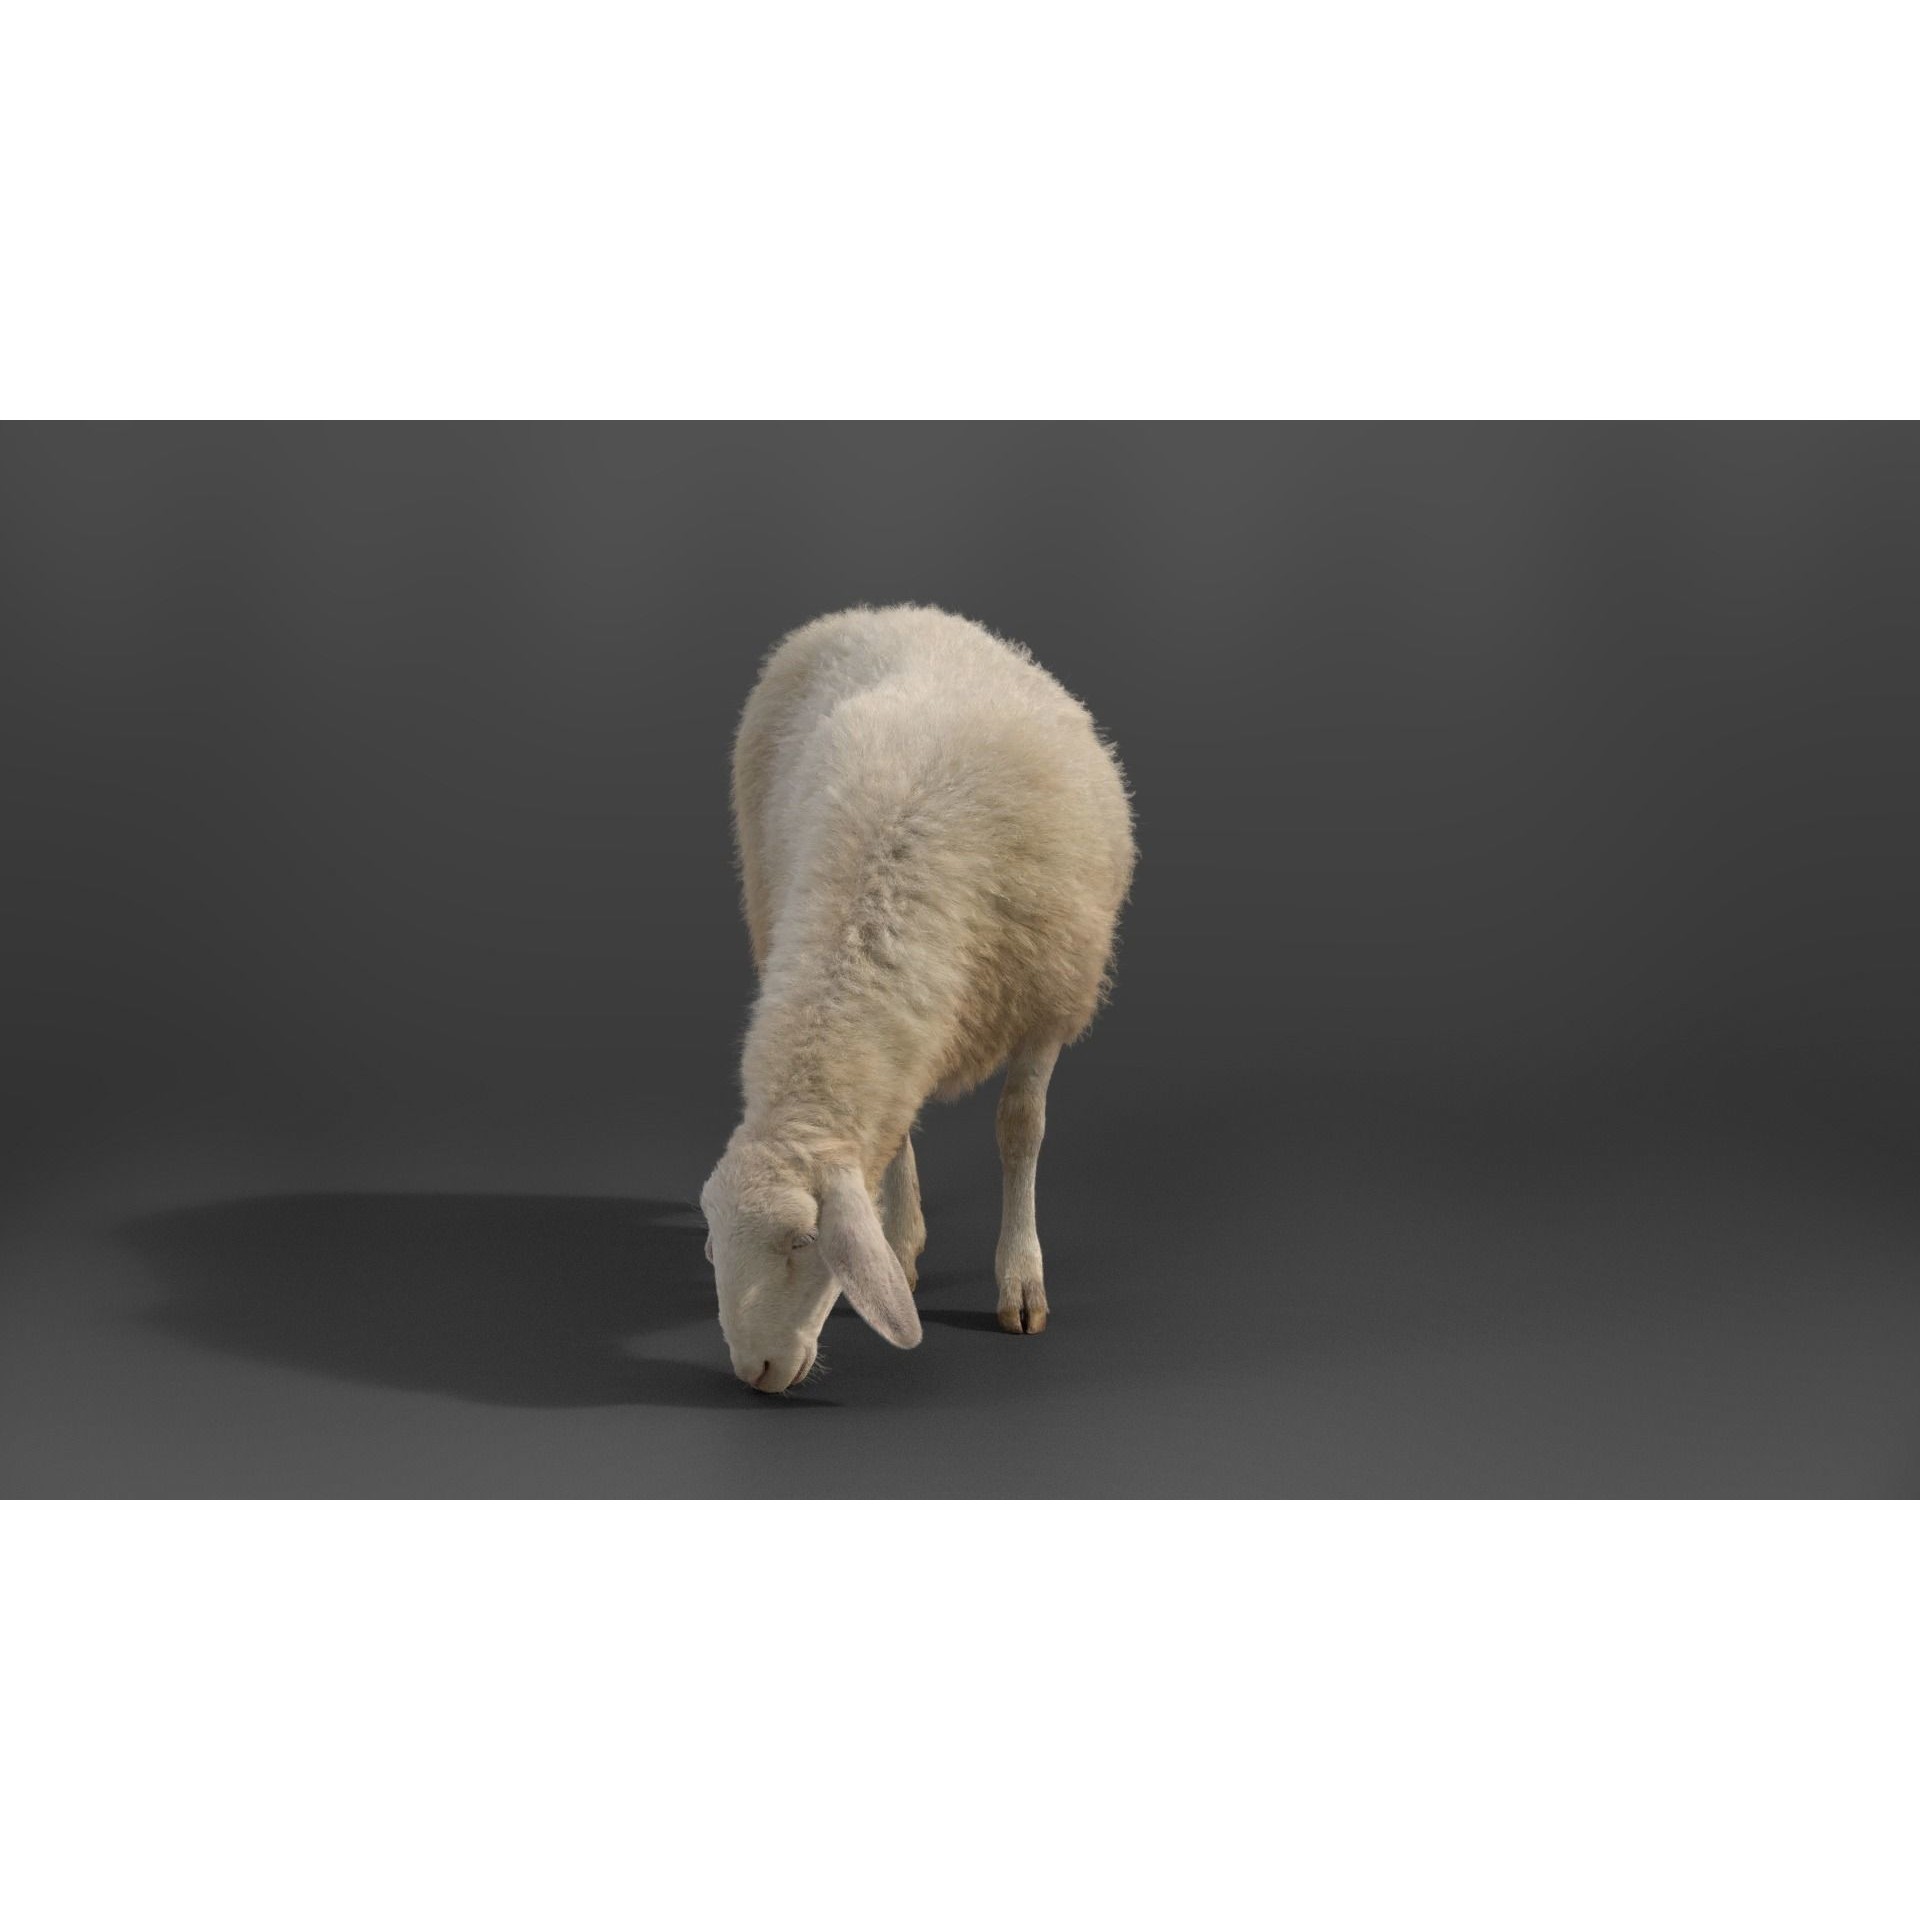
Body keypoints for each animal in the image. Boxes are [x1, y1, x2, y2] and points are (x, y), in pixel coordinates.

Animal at [699, 603, 1137, 1393]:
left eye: (804, 1239)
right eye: (713, 1245)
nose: (755, 1373)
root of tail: (881, 612)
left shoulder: (1045, 1001)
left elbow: (1021, 1130)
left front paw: (1021, 1281)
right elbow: (897, 1124)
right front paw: (895, 1248)